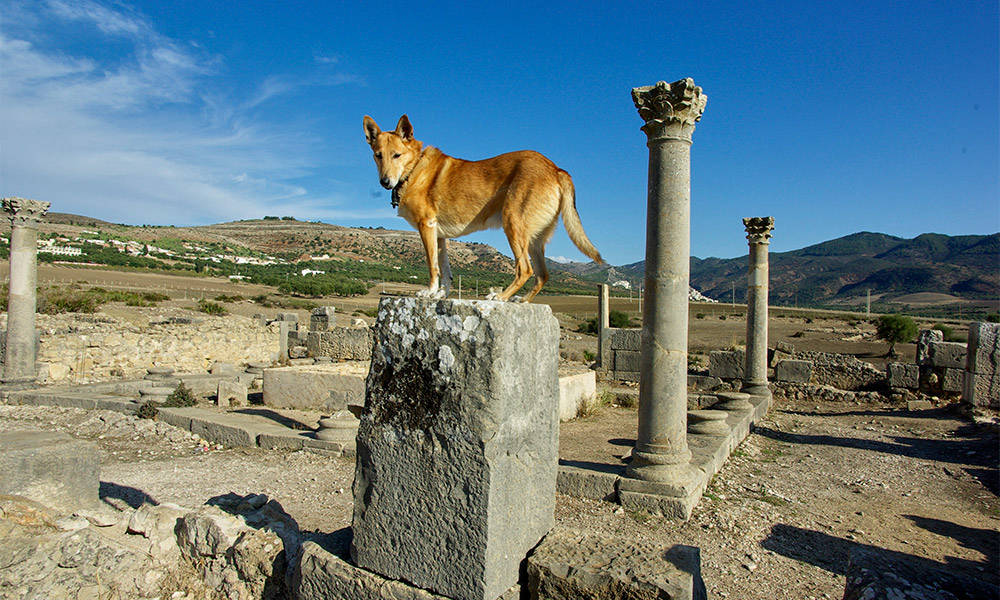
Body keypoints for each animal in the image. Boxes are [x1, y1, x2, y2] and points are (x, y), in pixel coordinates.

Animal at [366, 113, 604, 300]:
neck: (414, 169)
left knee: (525, 270)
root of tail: (555, 168)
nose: (384, 182)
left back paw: (500, 297)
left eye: (397, 155)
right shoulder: (439, 235)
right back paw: (521, 300)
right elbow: (445, 270)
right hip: (535, 239)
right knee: (542, 274)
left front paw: (429, 292)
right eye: (378, 155)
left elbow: (432, 266)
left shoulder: (427, 226)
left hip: (513, 223)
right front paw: (442, 295)